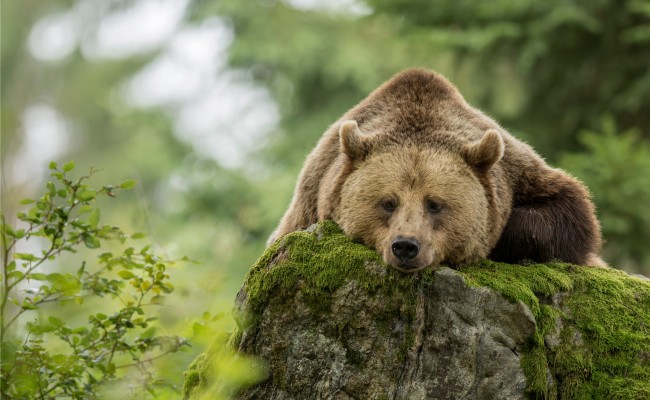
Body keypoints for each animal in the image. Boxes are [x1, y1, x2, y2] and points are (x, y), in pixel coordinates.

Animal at [268, 68, 604, 272]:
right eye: (388, 202)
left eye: (435, 204)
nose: (405, 246)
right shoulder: (311, 197)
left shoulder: (519, 172)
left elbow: (568, 211)